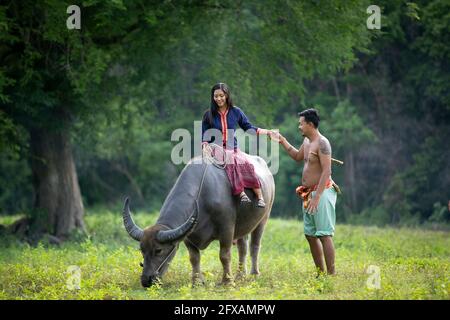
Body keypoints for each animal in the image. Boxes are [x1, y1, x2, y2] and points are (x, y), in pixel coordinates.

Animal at [123, 150, 276, 288]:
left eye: (159, 250)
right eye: (141, 250)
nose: (146, 280)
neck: (203, 196)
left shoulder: (226, 228)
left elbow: (224, 255)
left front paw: (227, 281)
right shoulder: (188, 233)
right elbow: (194, 258)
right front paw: (197, 282)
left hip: (264, 217)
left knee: (254, 246)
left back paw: (254, 274)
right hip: (243, 225)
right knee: (242, 247)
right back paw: (240, 275)